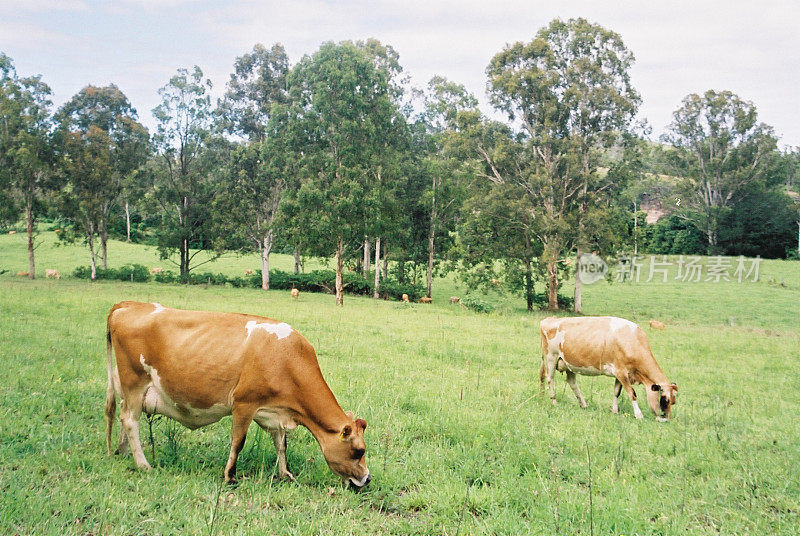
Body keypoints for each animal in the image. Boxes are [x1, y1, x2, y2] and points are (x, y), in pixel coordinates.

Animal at [104, 304, 370, 488]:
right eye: (359, 451)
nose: (367, 479)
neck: (287, 358)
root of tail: (128, 305)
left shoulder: (274, 411)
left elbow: (281, 444)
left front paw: (285, 474)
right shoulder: (244, 403)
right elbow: (238, 442)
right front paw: (229, 476)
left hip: (128, 387)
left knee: (124, 417)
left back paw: (123, 452)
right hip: (134, 381)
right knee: (130, 420)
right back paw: (143, 465)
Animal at [540, 316, 680, 420]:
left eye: (673, 402)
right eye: (665, 400)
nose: (666, 419)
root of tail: (549, 319)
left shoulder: (621, 374)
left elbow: (616, 392)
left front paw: (614, 411)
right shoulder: (620, 371)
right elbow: (632, 393)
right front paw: (638, 415)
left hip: (568, 363)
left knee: (572, 383)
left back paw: (583, 404)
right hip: (551, 357)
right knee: (550, 379)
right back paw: (554, 401)